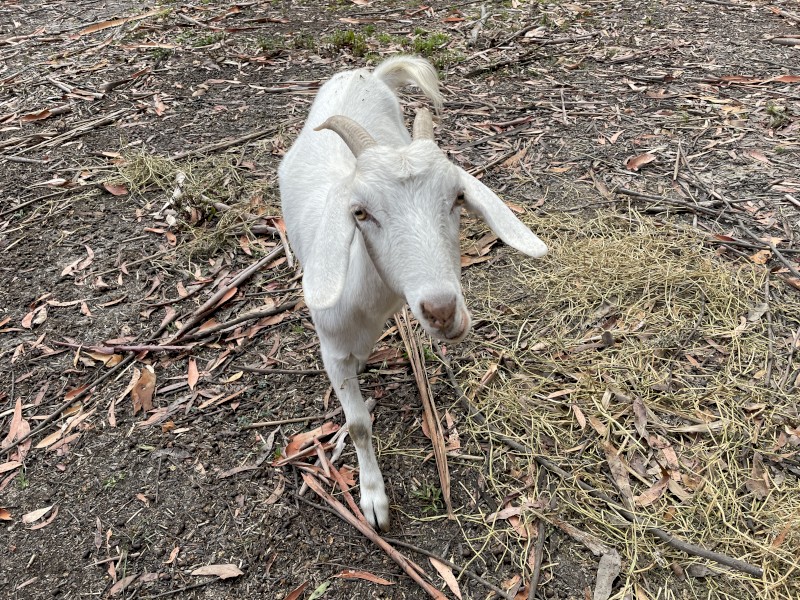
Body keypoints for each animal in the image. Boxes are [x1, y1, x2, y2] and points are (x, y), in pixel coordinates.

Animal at [278, 55, 547, 531]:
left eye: (458, 197)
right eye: (360, 212)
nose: (442, 310)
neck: (373, 298)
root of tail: (366, 75)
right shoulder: (331, 347)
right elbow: (358, 423)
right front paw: (373, 501)